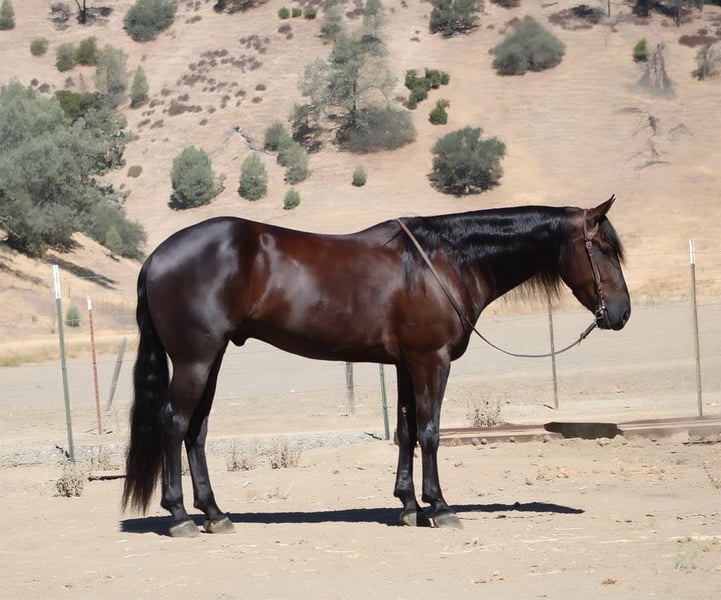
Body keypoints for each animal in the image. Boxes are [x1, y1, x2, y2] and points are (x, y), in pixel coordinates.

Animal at [122, 196, 630, 536]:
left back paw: (215, 514)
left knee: (196, 431)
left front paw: (407, 506)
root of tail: (157, 257)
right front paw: (439, 507)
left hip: (212, 359)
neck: (443, 261)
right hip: (195, 359)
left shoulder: (406, 364)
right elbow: (430, 432)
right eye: (604, 247)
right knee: (174, 424)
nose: (621, 314)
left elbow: (406, 432)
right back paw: (180, 517)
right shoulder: (431, 361)